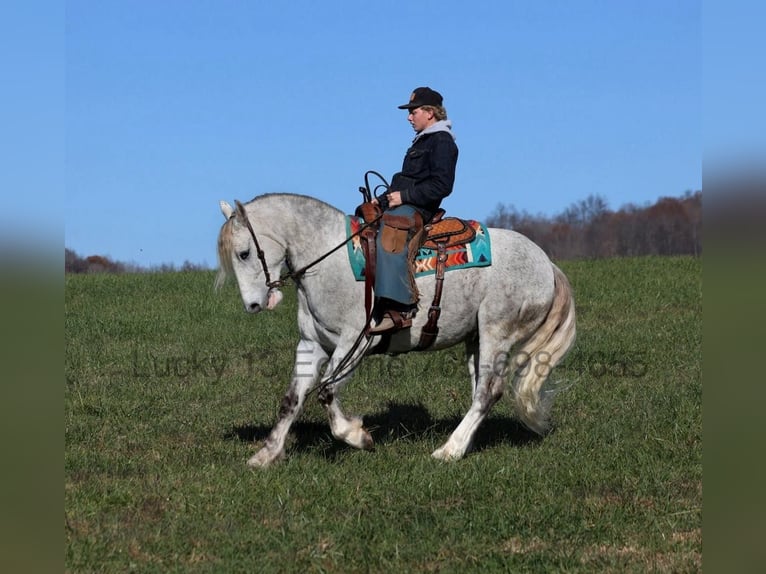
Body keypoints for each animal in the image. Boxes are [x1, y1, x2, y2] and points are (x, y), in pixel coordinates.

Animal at [216, 193, 576, 467]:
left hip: (496, 333)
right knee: (480, 392)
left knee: (489, 392)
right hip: (475, 338)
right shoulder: (311, 345)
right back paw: (464, 444)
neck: (330, 262)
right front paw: (266, 454)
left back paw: (449, 450)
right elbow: (292, 400)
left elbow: (327, 392)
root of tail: (547, 264)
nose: (253, 305)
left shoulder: (355, 343)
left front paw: (358, 437)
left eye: (244, 253)